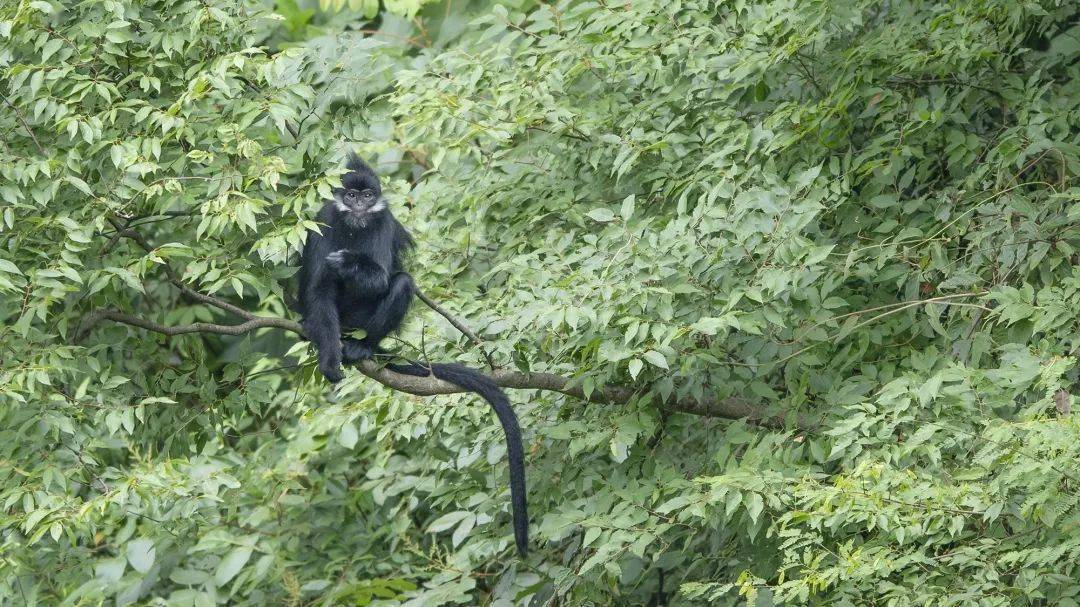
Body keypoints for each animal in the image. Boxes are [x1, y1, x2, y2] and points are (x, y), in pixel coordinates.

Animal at [295, 153, 531, 557]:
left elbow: (380, 276)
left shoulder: (383, 220)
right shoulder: (325, 217)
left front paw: (349, 263)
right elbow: (318, 287)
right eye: (351, 195)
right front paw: (328, 359)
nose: (360, 205)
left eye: (368, 196)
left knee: (402, 282)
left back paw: (363, 347)